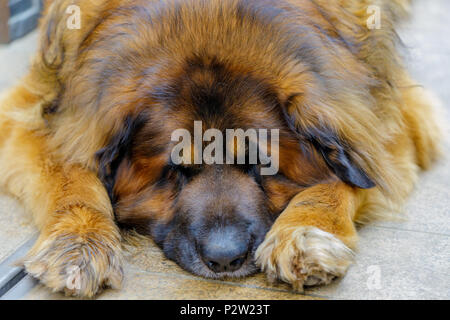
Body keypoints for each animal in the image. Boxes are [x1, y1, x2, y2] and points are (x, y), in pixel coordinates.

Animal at [0, 0, 440, 298]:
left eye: (262, 163)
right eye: (176, 170)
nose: (225, 258)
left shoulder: (390, 120)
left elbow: (345, 176)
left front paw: (307, 232)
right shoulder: (39, 109)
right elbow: (72, 175)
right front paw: (78, 243)